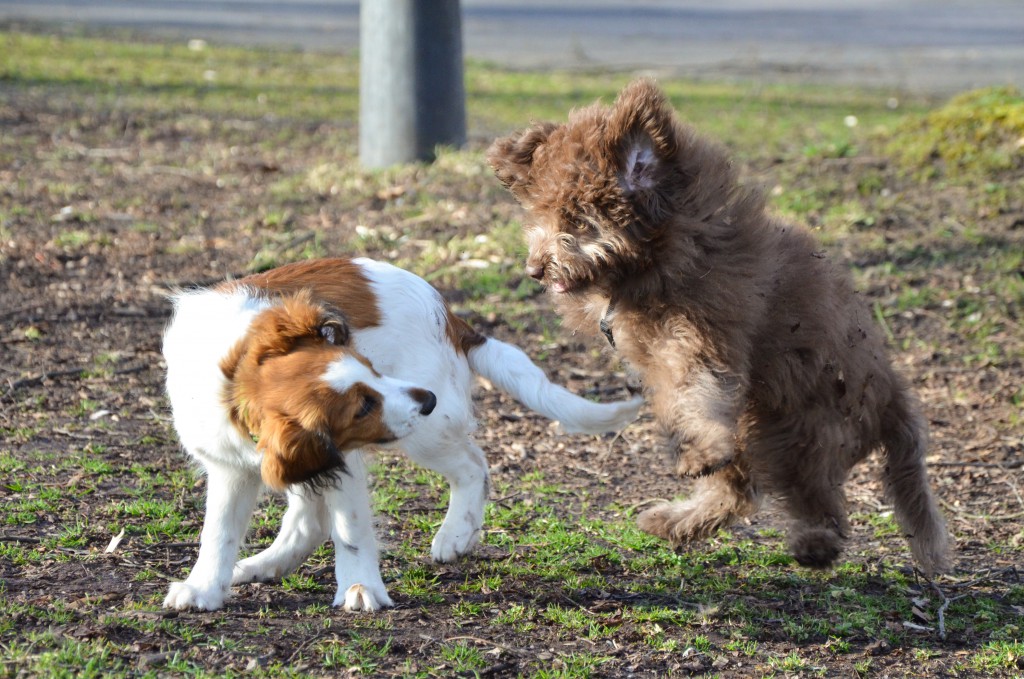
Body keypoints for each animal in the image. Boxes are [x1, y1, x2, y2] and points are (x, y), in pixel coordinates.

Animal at [161, 258, 638, 614]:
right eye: (362, 407)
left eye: (371, 368)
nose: (425, 399)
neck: (235, 376)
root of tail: (449, 314)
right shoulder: (239, 465)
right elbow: (218, 531)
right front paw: (204, 588)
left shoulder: (342, 460)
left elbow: (351, 528)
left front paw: (360, 588)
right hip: (306, 459)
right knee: (309, 519)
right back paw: (265, 565)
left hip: (426, 434)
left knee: (473, 466)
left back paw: (455, 534)